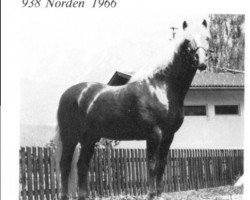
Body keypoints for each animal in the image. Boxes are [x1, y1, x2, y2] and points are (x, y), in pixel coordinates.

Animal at [55, 19, 212, 200]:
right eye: (187, 41)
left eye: (207, 38)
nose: (201, 62)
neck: (161, 88)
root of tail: (70, 93)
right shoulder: (154, 134)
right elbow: (151, 165)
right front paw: (151, 194)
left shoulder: (169, 135)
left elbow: (162, 165)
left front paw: (159, 193)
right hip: (70, 137)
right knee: (65, 164)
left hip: (89, 138)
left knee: (82, 165)